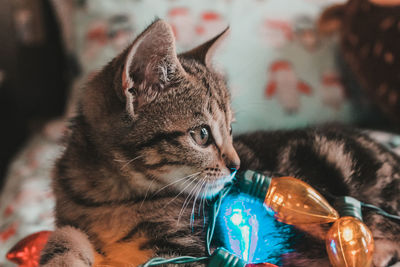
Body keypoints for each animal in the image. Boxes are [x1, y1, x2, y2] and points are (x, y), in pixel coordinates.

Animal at [41, 19, 400, 267]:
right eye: (202, 134)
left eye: (230, 129)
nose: (236, 166)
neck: (111, 198)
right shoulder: (70, 215)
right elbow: (64, 234)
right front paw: (63, 256)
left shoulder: (187, 251)